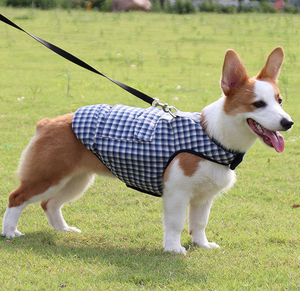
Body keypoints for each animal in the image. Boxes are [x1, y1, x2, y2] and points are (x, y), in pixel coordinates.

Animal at [1, 46, 292, 254]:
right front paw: (174, 249)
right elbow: (176, 223)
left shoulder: (203, 197)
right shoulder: (177, 193)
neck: (213, 136)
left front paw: (202, 245)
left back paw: (63, 231)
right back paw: (10, 232)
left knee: (50, 203)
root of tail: (48, 122)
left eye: (279, 100)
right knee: (17, 197)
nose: (288, 123)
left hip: (76, 180)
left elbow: (199, 223)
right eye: (258, 104)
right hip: (47, 176)